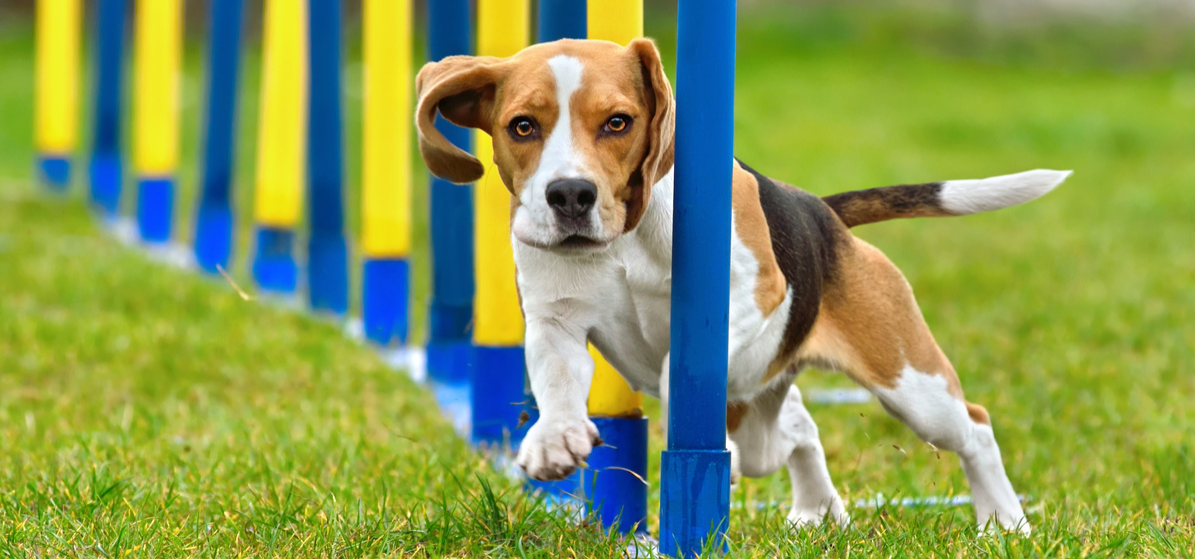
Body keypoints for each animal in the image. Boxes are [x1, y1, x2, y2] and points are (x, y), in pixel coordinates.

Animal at [415, 37, 1070, 535]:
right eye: (522, 126)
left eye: (618, 122)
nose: (570, 195)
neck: (624, 238)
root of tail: (823, 213)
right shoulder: (556, 322)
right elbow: (555, 381)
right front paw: (554, 439)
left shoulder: (750, 295)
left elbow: (679, 370)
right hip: (776, 409)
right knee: (798, 428)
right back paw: (817, 511)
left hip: (912, 384)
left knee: (974, 427)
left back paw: (1005, 523)